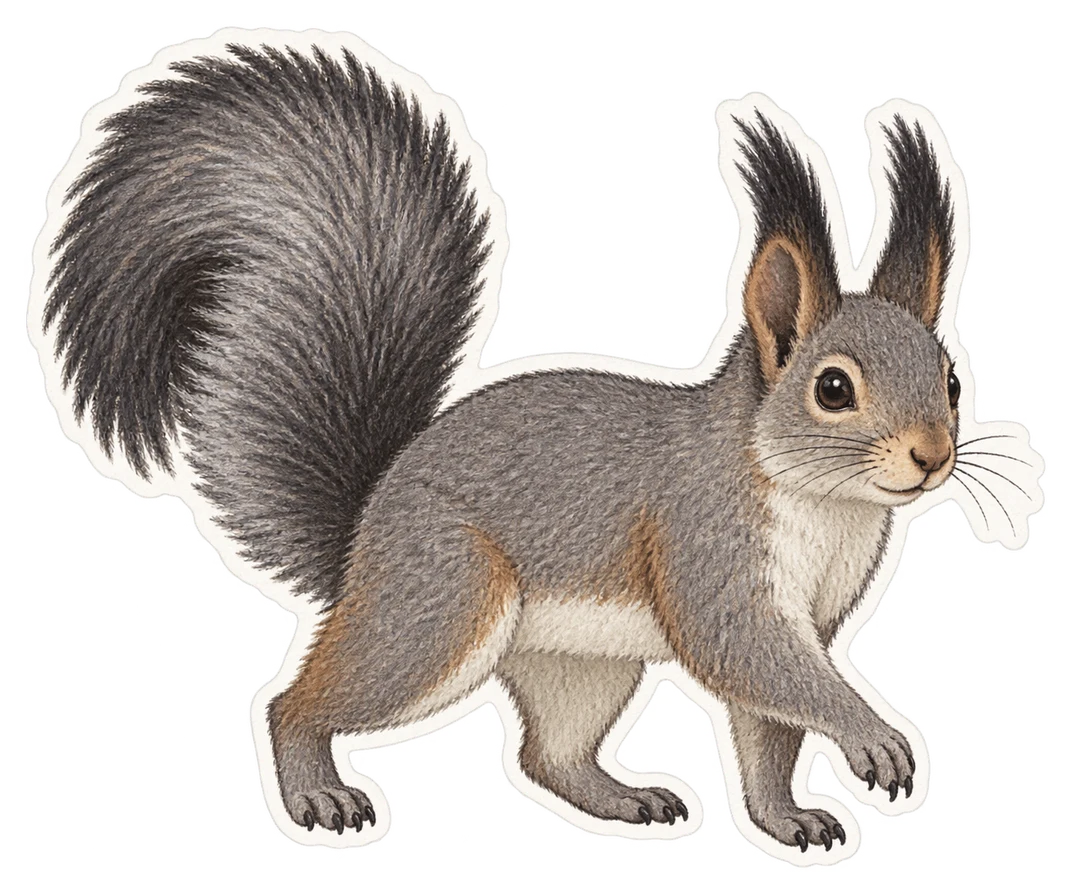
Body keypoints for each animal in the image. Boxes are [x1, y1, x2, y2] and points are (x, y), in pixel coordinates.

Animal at [42, 44, 964, 852]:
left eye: (952, 380)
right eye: (833, 389)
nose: (933, 457)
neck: (824, 505)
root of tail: (364, 533)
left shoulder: (817, 612)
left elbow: (769, 730)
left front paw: (786, 819)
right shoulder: (711, 551)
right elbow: (759, 663)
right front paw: (872, 735)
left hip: (575, 662)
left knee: (547, 755)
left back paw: (623, 798)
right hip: (441, 603)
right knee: (299, 704)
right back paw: (317, 794)